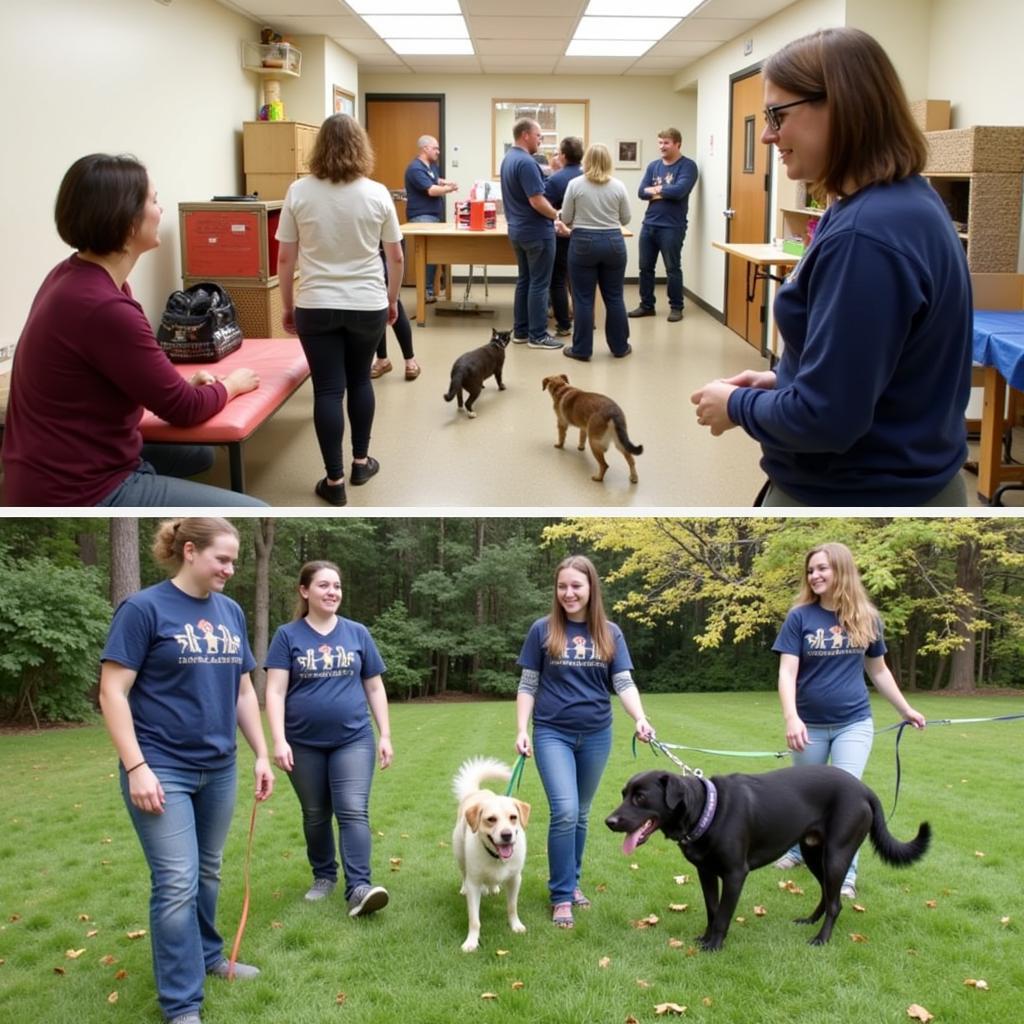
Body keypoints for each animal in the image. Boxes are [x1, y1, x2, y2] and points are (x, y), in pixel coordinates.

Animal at [452, 757, 532, 954]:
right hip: (460, 856)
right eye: (491, 819)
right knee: (463, 874)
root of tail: (476, 793)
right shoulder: (474, 883)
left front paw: (515, 926)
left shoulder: (515, 879)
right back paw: (465, 888)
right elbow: (474, 920)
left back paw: (493, 888)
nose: (507, 835)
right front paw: (471, 942)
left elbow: (512, 907)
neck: (497, 858)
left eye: (513, 817)